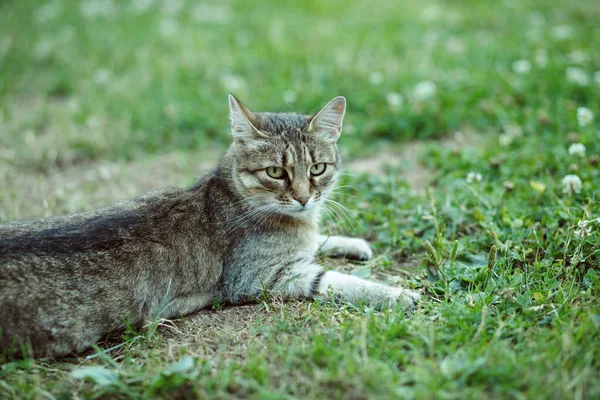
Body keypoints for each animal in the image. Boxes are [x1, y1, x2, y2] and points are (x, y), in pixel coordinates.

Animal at [0, 95, 422, 358]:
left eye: (318, 168)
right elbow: (337, 280)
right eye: (275, 172)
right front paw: (398, 295)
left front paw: (351, 243)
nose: (304, 198)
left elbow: (317, 239)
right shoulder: (263, 278)